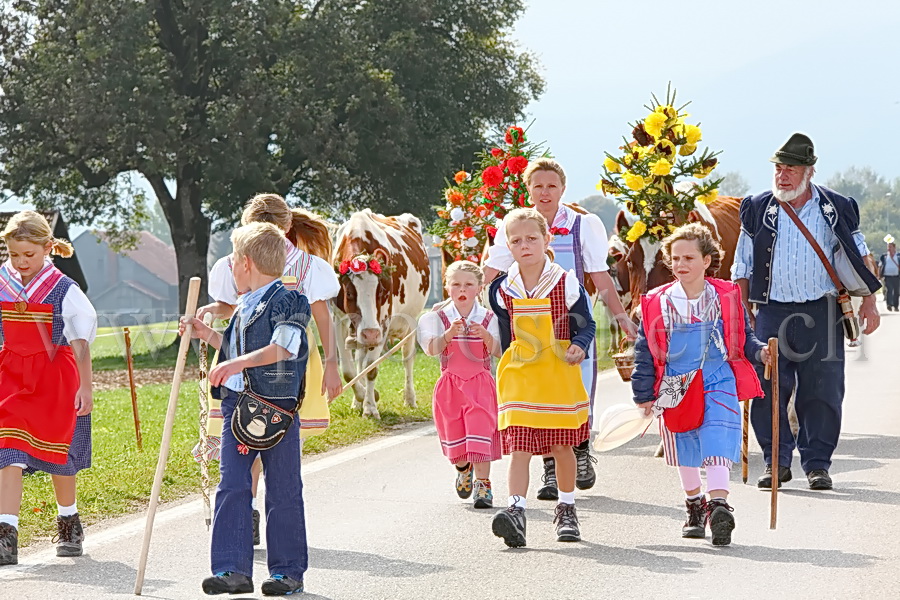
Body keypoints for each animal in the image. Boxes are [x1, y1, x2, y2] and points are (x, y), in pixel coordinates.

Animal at [332, 209, 430, 420]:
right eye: (349, 293)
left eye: (382, 292)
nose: (371, 334)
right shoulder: (339, 321)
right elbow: (348, 371)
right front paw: (362, 398)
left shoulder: (383, 324)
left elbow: (372, 368)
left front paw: (370, 406)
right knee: (360, 359)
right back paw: (356, 402)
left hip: (410, 323)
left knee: (407, 358)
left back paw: (410, 398)